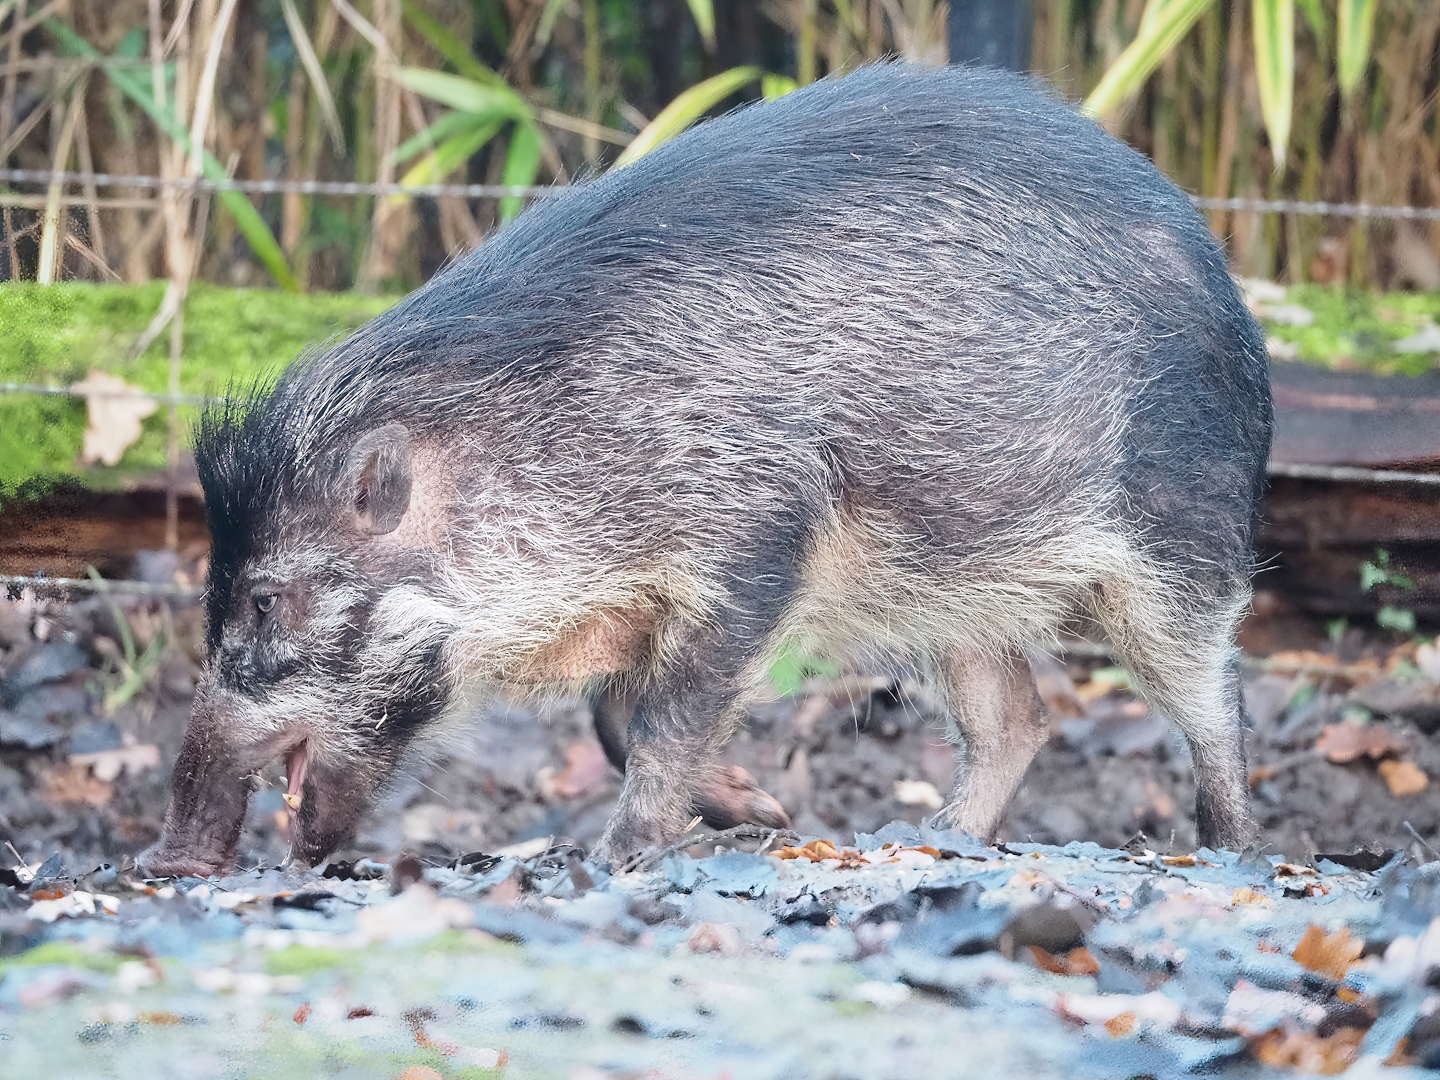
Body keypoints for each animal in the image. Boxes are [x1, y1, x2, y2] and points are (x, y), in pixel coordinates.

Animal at [140, 61, 1271, 877]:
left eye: (266, 600)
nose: (172, 858)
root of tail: (1229, 281)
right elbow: (612, 717)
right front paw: (761, 810)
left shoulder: (757, 537)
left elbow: (664, 718)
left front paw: (623, 855)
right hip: (954, 584)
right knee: (1019, 719)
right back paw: (932, 842)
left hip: (1179, 540)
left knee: (1212, 690)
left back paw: (1225, 848)